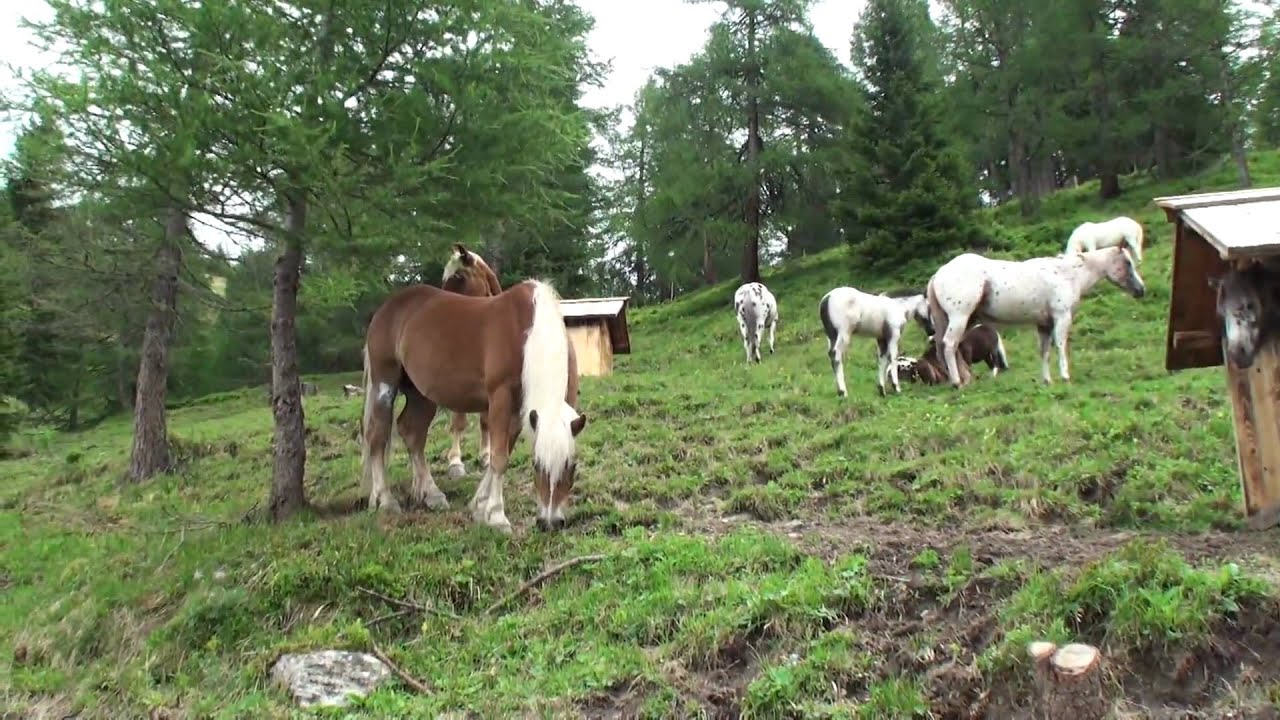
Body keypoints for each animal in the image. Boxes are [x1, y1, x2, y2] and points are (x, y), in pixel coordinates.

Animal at [358, 278, 587, 533]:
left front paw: (479, 506)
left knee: (412, 434)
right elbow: (499, 458)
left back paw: (431, 494)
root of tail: (386, 308)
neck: (526, 332)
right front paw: (497, 516)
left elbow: (502, 452)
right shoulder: (500, 398)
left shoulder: (520, 411)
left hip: (421, 395)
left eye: (572, 465)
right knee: (377, 436)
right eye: (536, 464)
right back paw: (386, 500)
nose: (550, 523)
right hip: (384, 383)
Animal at [927, 246, 1145, 388]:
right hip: (960, 317)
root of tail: (938, 274)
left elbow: (1044, 352)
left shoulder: (1044, 325)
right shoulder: (1061, 318)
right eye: (1128, 263)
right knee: (949, 345)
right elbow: (1061, 346)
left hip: (965, 320)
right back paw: (957, 382)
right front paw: (1065, 377)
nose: (1141, 290)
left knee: (953, 347)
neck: (1068, 275)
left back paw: (964, 379)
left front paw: (1047, 381)